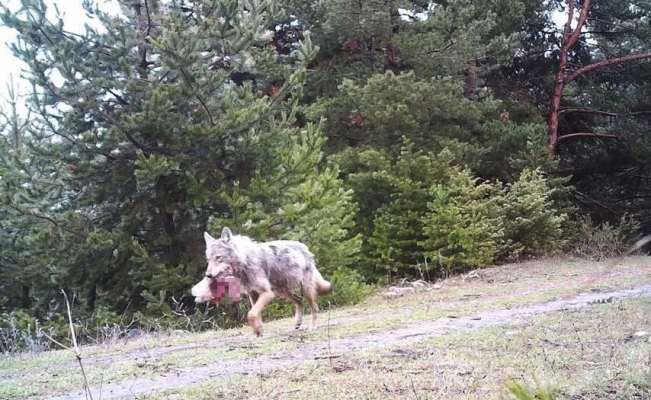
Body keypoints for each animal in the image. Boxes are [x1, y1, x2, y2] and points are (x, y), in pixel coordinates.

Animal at [191, 227, 334, 337]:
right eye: (208, 260)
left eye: (218, 257)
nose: (208, 275)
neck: (245, 261)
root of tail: (306, 248)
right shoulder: (253, 295)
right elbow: (256, 315)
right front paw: (257, 333)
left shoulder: (266, 294)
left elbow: (251, 314)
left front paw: (258, 331)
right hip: (282, 292)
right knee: (299, 300)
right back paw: (297, 323)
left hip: (304, 290)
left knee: (314, 307)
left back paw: (313, 327)